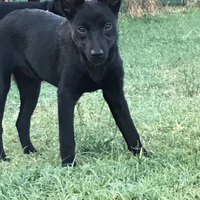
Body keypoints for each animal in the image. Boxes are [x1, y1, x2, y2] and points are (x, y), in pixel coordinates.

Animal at [0, 0, 147, 166]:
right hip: (3, 86)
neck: (92, 66)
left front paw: (144, 155)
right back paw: (4, 157)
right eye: (81, 29)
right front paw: (68, 164)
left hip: (31, 88)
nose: (97, 54)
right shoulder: (66, 95)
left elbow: (129, 127)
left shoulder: (115, 93)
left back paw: (30, 151)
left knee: (22, 122)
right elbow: (67, 135)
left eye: (107, 26)